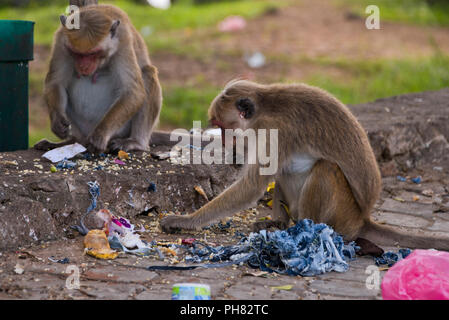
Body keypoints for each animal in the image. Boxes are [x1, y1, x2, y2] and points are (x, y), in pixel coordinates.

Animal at [35, 0, 161, 152]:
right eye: (76, 53)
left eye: (93, 53)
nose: (83, 66)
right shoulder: (61, 41)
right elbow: (55, 82)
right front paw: (57, 122)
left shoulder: (123, 42)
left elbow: (132, 91)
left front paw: (100, 134)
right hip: (80, 129)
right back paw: (69, 142)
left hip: (121, 129)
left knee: (148, 72)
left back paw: (136, 142)